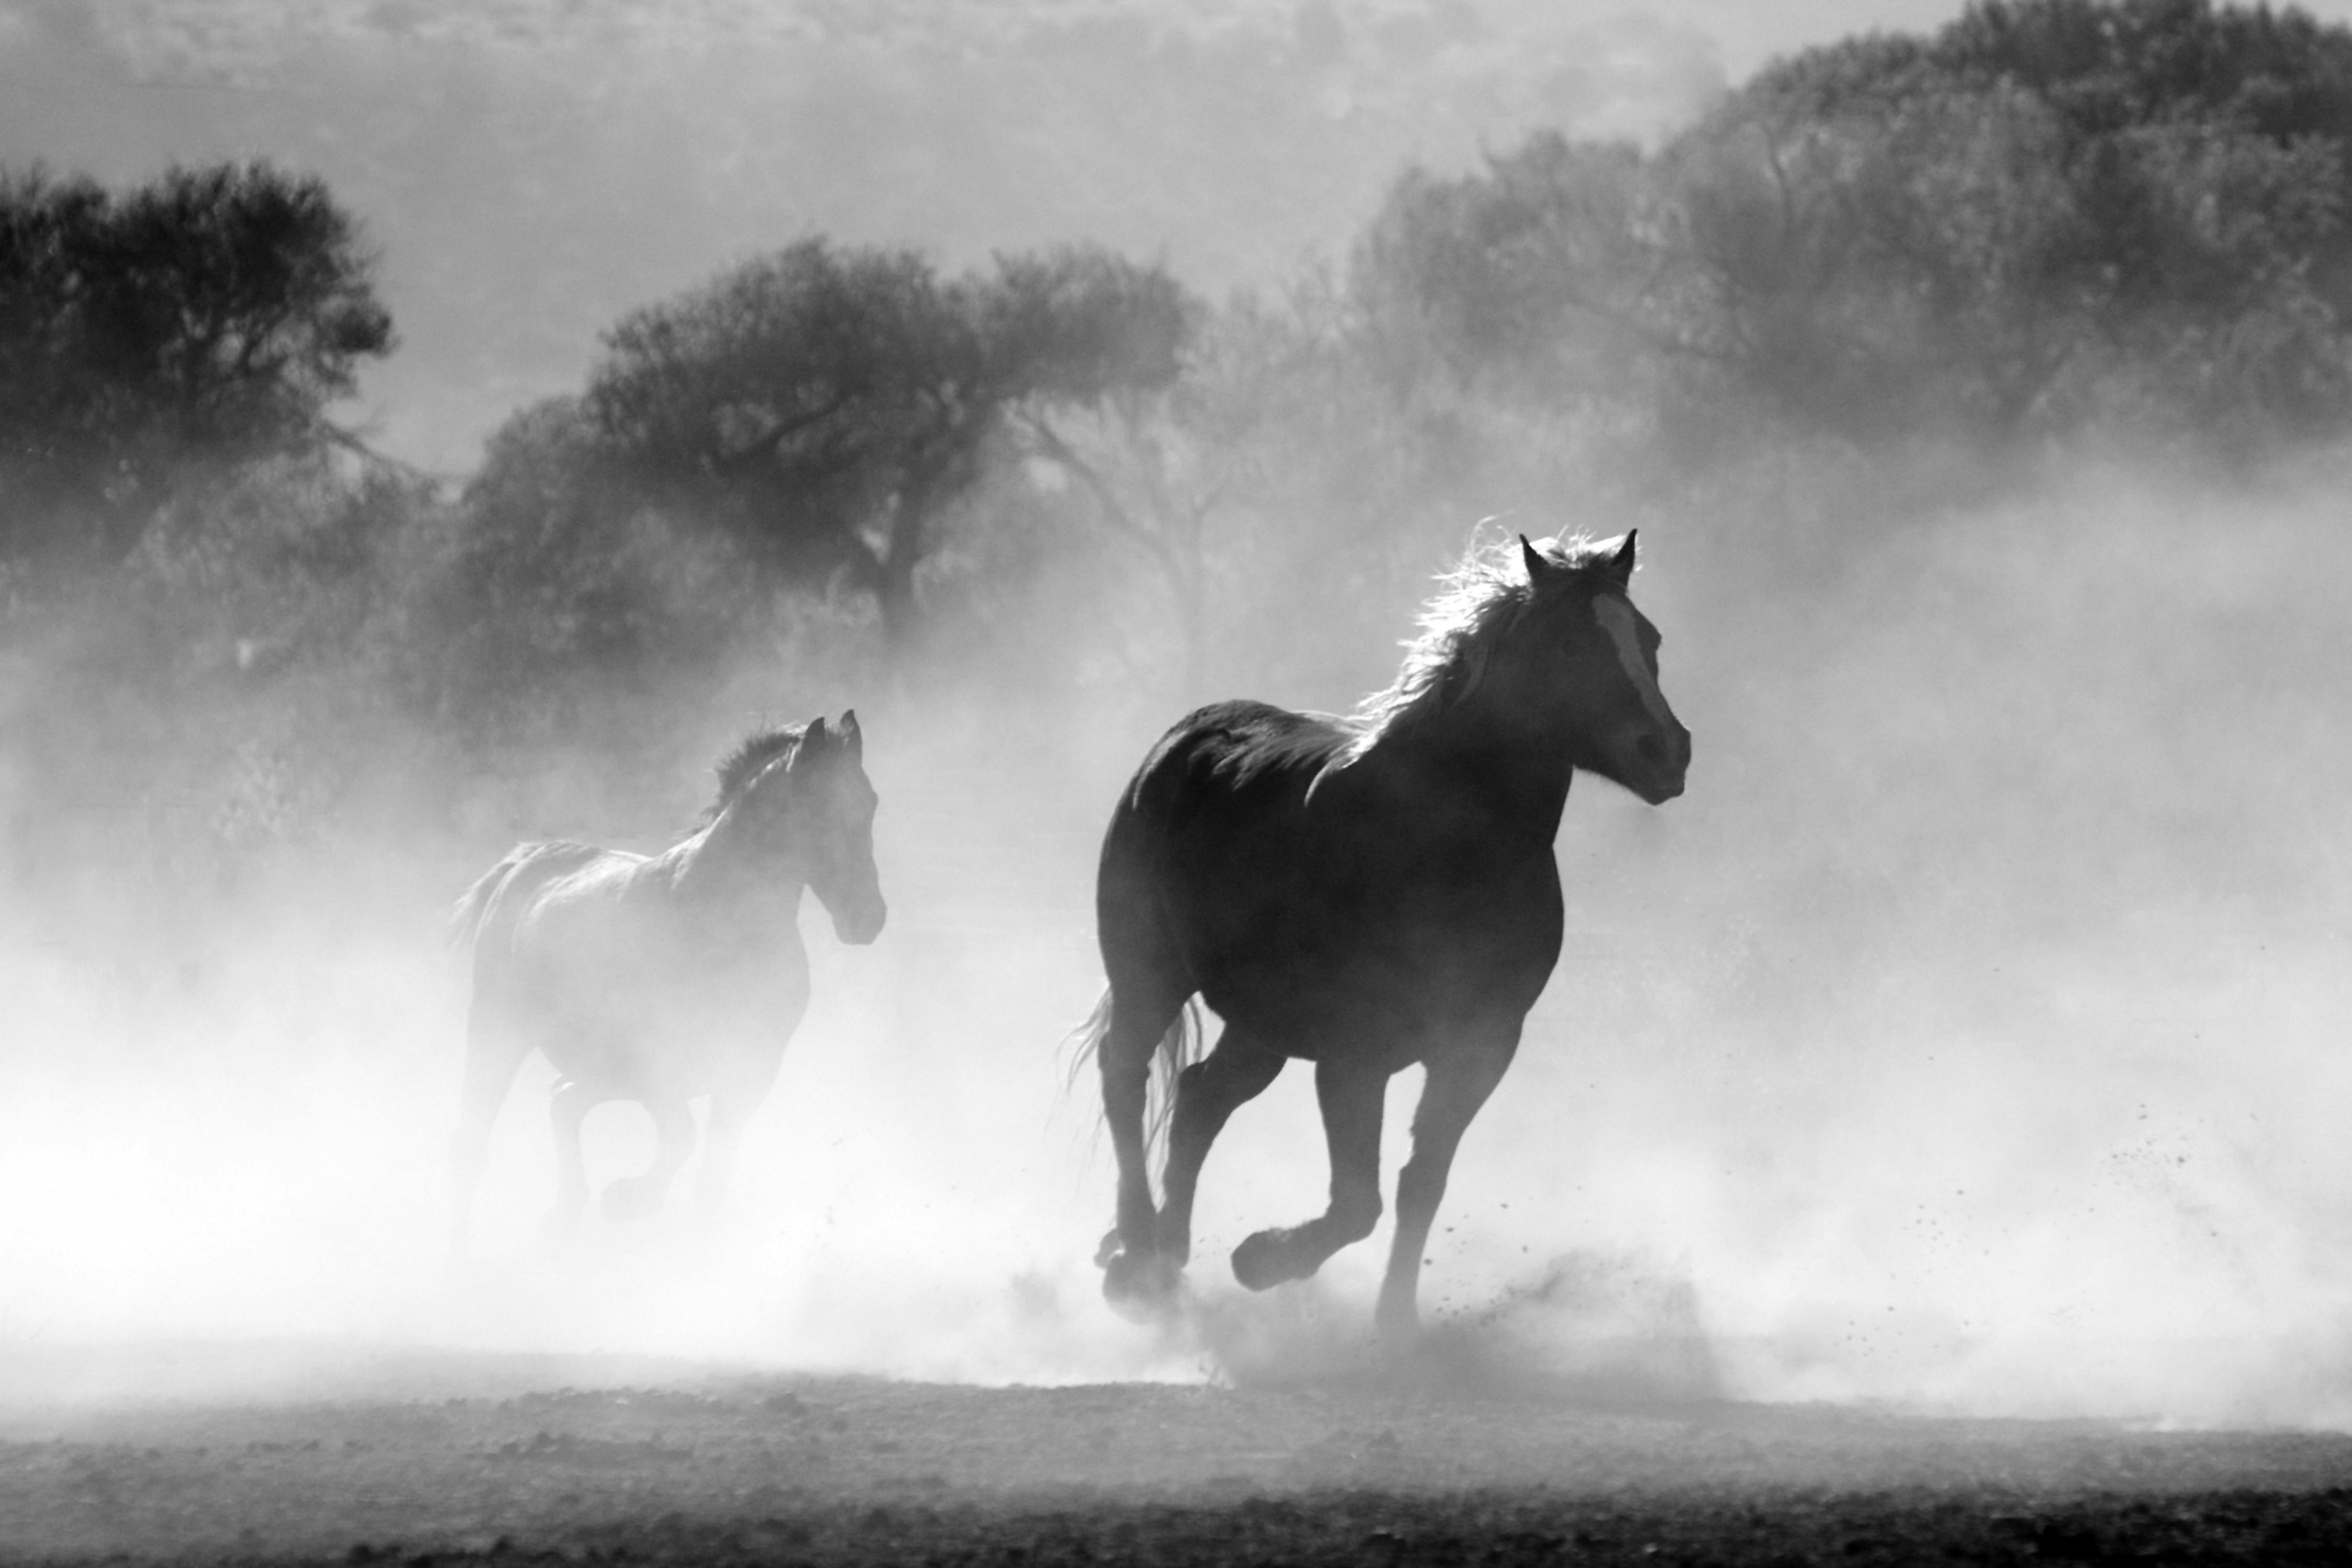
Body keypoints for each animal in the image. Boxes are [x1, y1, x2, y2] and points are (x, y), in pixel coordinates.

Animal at [447, 719, 884, 1260]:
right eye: (819, 807)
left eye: (870, 802)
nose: (868, 919)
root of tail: (526, 863)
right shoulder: (657, 1065)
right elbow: (681, 1137)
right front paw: (627, 1200)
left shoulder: (750, 1074)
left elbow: (711, 1177)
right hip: (498, 1031)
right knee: (476, 1137)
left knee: (563, 1100)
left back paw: (563, 1216)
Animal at [1077, 536, 1703, 1335]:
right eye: (1569, 644)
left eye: (1649, 640)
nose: (1667, 751)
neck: (1441, 847)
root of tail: (1181, 741)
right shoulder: (1355, 1055)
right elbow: (1357, 1203)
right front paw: (1262, 1260)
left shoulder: (1480, 1047)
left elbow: (1420, 1184)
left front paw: (1394, 1323)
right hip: (1149, 975)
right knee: (1125, 1075)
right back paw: (1135, 1254)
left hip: (1262, 1024)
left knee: (1197, 1102)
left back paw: (1167, 1258)